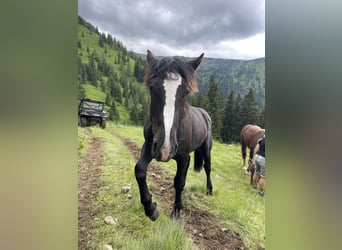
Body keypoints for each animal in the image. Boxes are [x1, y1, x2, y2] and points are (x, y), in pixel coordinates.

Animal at [135, 50, 212, 221]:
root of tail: (204, 113)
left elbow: (179, 182)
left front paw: (176, 212)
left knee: (208, 168)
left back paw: (210, 190)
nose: (165, 149)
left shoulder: (182, 156)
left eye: (186, 92)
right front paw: (151, 208)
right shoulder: (150, 146)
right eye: (152, 88)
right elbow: (140, 170)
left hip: (206, 149)